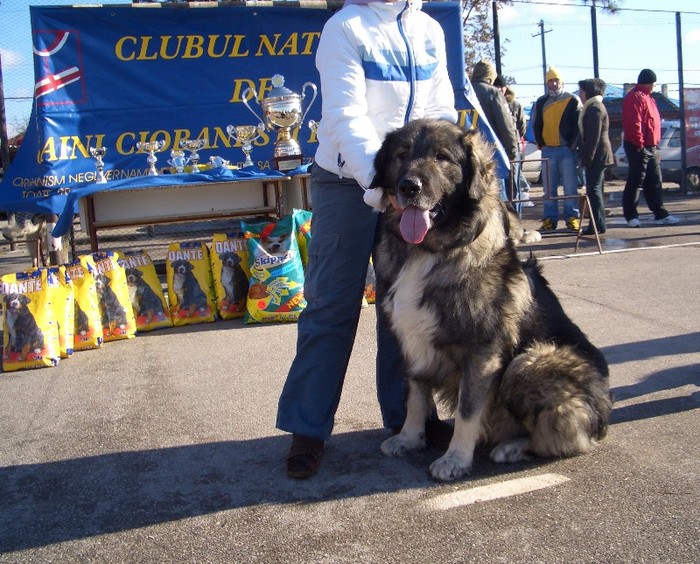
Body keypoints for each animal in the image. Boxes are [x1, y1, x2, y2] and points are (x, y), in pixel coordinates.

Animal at [372, 119, 612, 480]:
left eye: (442, 157)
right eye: (402, 154)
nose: (409, 186)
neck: (428, 250)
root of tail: (602, 418)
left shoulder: (481, 352)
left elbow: (468, 410)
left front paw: (455, 459)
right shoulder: (412, 342)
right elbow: (415, 395)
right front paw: (410, 439)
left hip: (531, 361)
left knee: (561, 437)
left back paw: (513, 446)